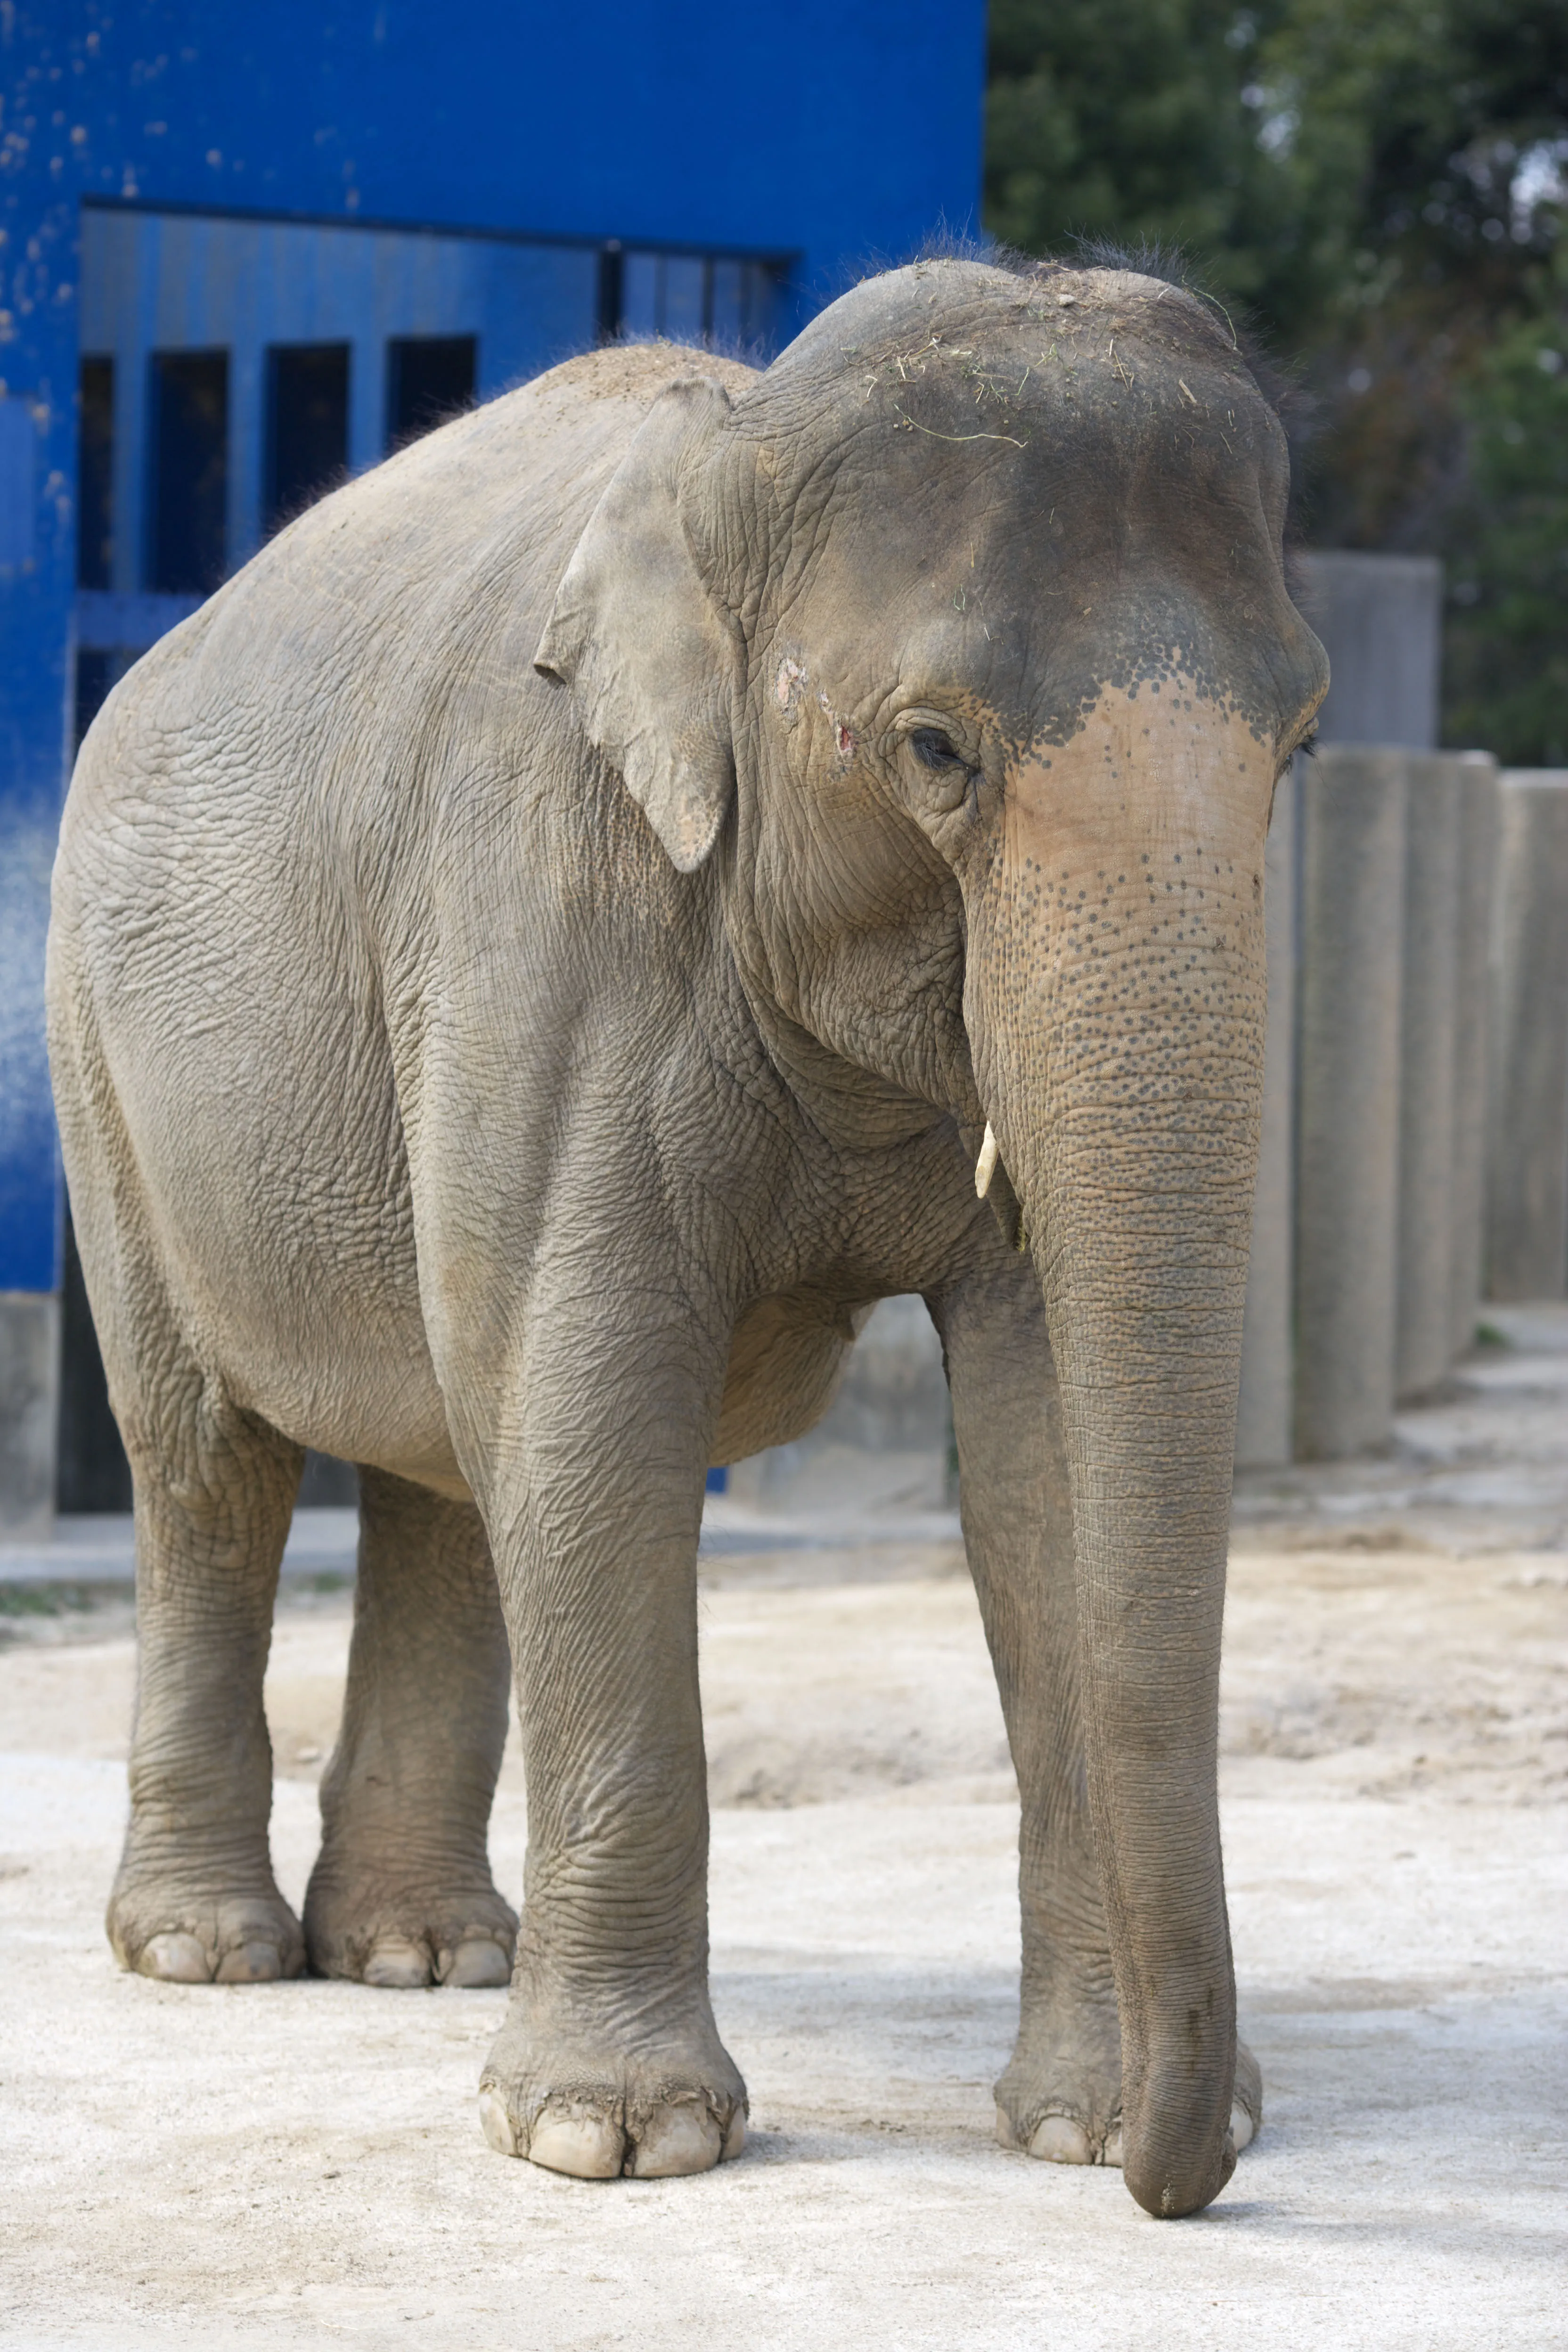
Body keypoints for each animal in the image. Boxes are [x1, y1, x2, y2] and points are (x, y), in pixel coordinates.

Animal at [46, 262, 1326, 2220]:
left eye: (1297, 744)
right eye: (931, 749)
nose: (1187, 2173)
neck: (744, 444)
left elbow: (1038, 1451)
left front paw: (1079, 2125)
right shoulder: (546, 906)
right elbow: (594, 1395)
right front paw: (612, 2143)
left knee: (444, 1457)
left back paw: (421, 1955)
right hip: (98, 1058)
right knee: (210, 1459)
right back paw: (208, 1952)